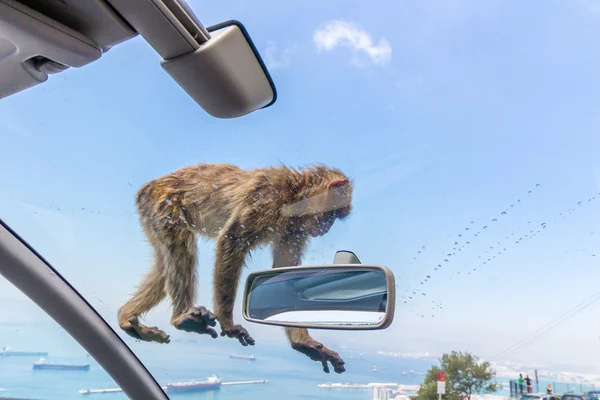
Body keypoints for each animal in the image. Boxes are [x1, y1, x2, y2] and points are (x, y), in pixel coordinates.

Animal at [117, 161, 352, 374]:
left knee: (163, 267)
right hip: (162, 204)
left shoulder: (294, 228)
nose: (326, 227)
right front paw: (227, 322)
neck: (295, 194)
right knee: (182, 245)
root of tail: (148, 187)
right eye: (332, 214)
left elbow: (284, 270)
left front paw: (304, 343)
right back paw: (181, 317)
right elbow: (232, 240)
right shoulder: (268, 198)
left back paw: (126, 319)